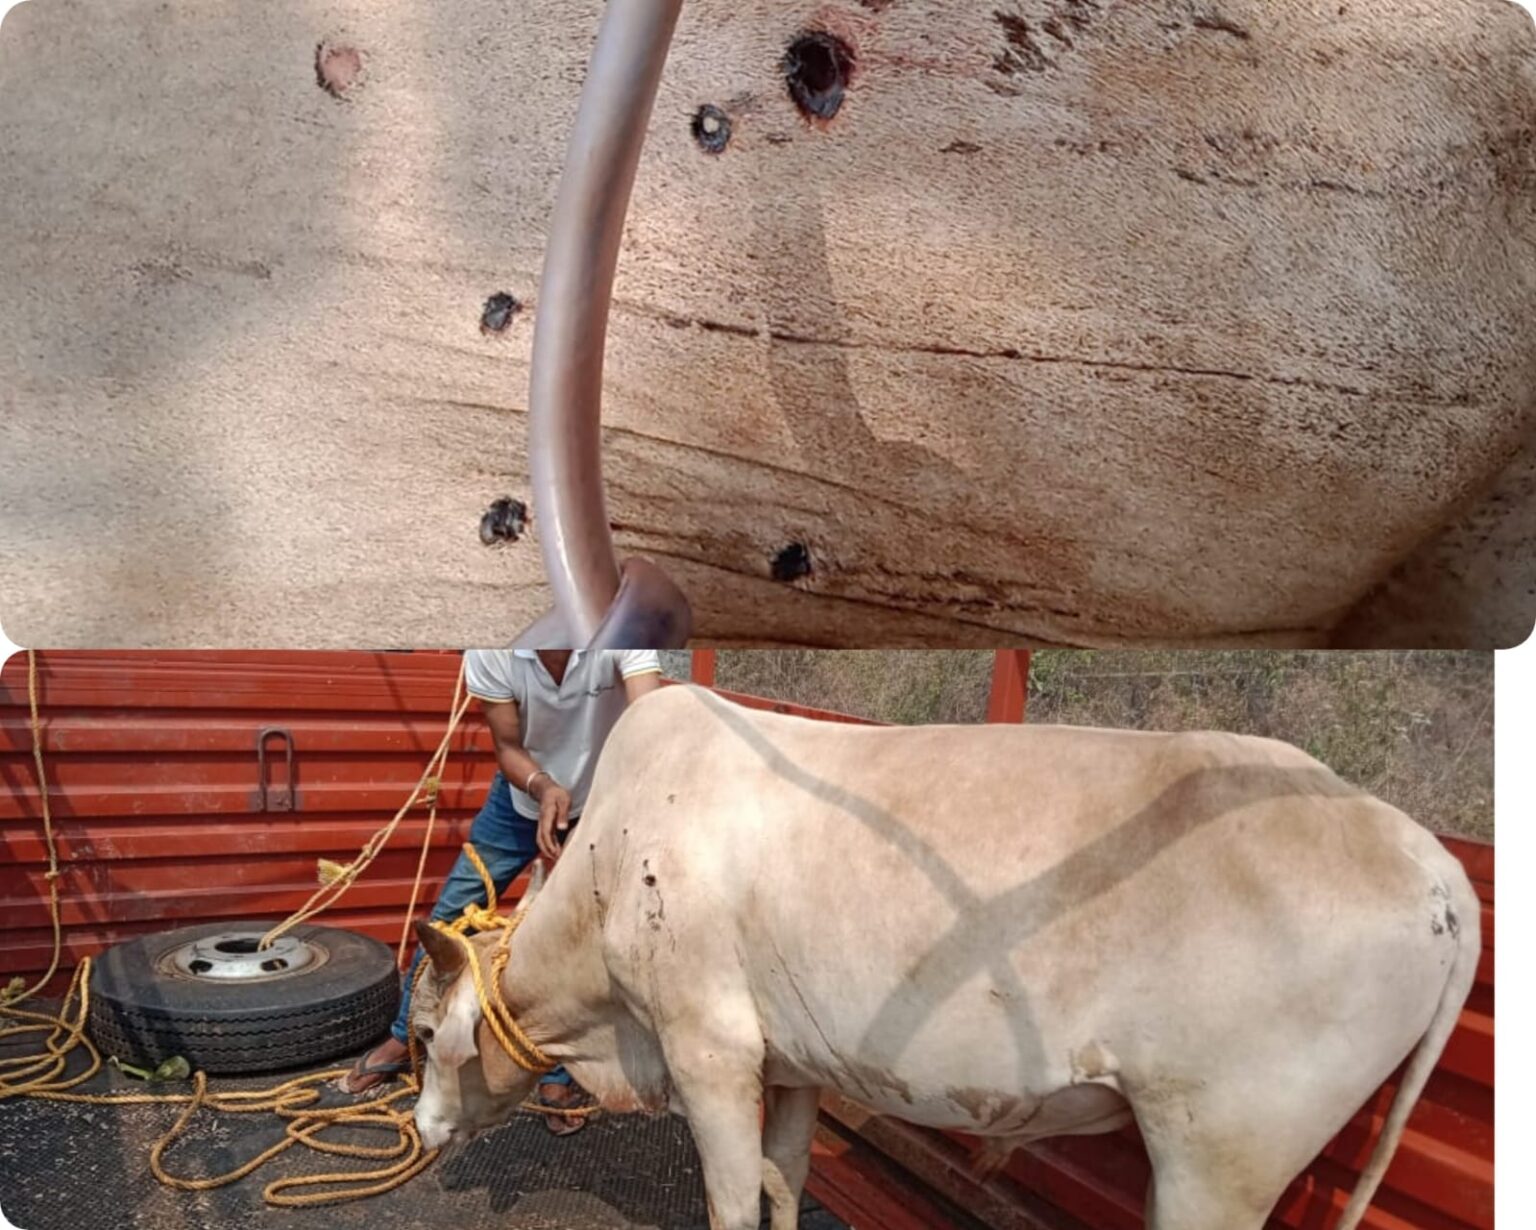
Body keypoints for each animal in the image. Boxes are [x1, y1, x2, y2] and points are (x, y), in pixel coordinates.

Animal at [409, 685, 1480, 1230]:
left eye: (422, 1033)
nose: (418, 1131)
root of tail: (1434, 866)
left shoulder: (709, 1050)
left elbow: (730, 1198)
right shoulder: (790, 1066)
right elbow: (784, 1180)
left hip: (1222, 1157)